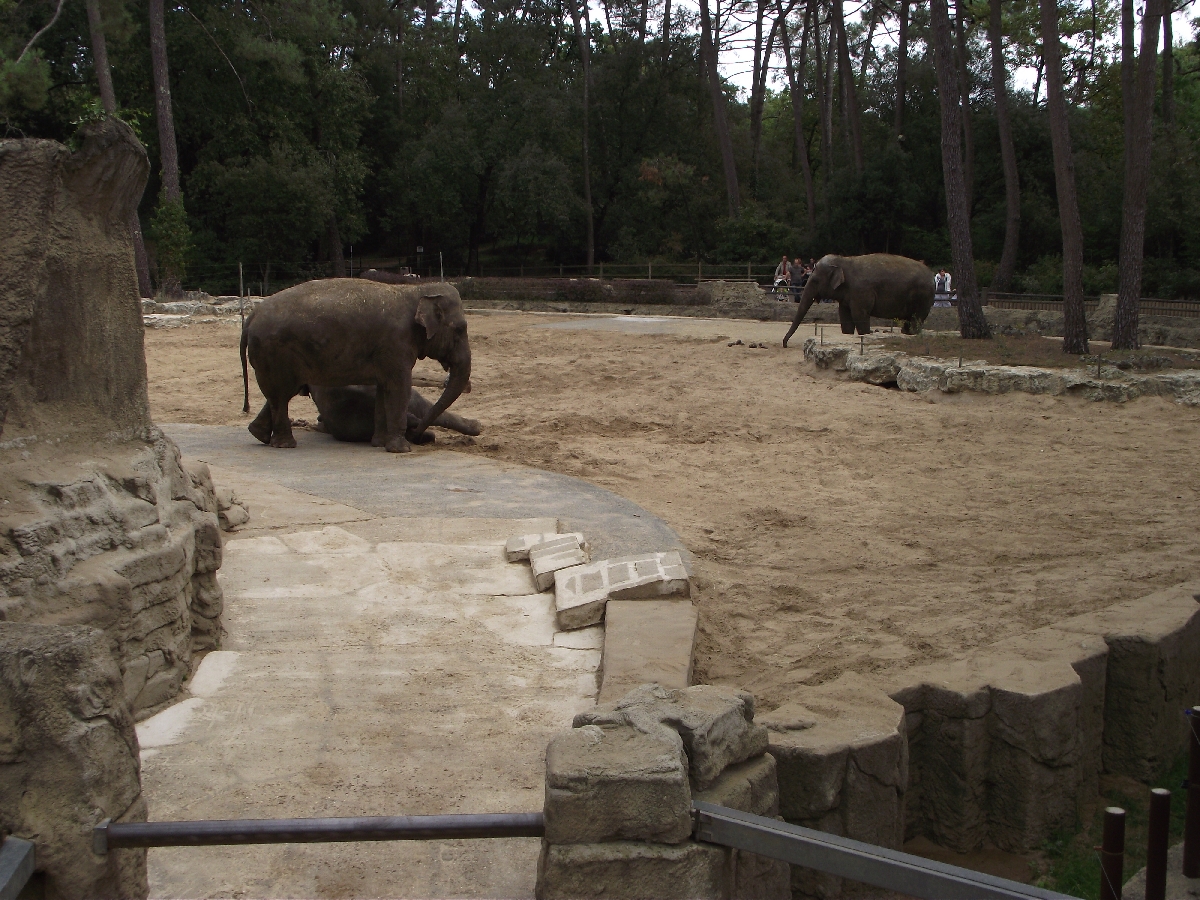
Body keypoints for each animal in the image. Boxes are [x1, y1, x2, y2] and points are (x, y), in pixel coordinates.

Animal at [782, 254, 934, 347]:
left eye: (815, 281)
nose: (785, 344)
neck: (844, 260)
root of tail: (931, 275)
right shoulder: (847, 296)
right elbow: (844, 316)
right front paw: (848, 334)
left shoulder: (861, 291)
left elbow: (859, 314)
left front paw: (866, 334)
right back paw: (905, 333)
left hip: (923, 297)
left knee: (917, 318)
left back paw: (911, 333)